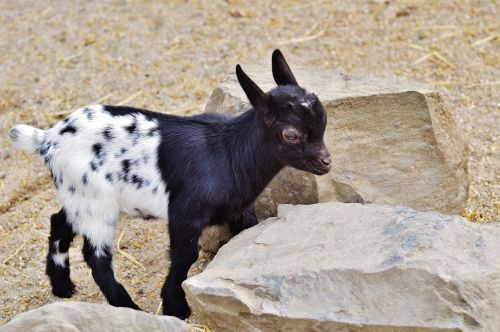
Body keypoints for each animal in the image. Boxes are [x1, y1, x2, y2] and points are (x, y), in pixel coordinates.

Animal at [8, 50, 332, 320]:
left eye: (323, 120)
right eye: (291, 134)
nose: (326, 161)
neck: (229, 151)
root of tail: (48, 139)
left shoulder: (239, 209)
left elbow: (245, 233)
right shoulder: (185, 215)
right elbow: (184, 257)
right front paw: (176, 307)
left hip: (78, 197)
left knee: (59, 222)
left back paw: (63, 286)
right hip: (96, 202)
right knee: (96, 256)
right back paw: (129, 308)